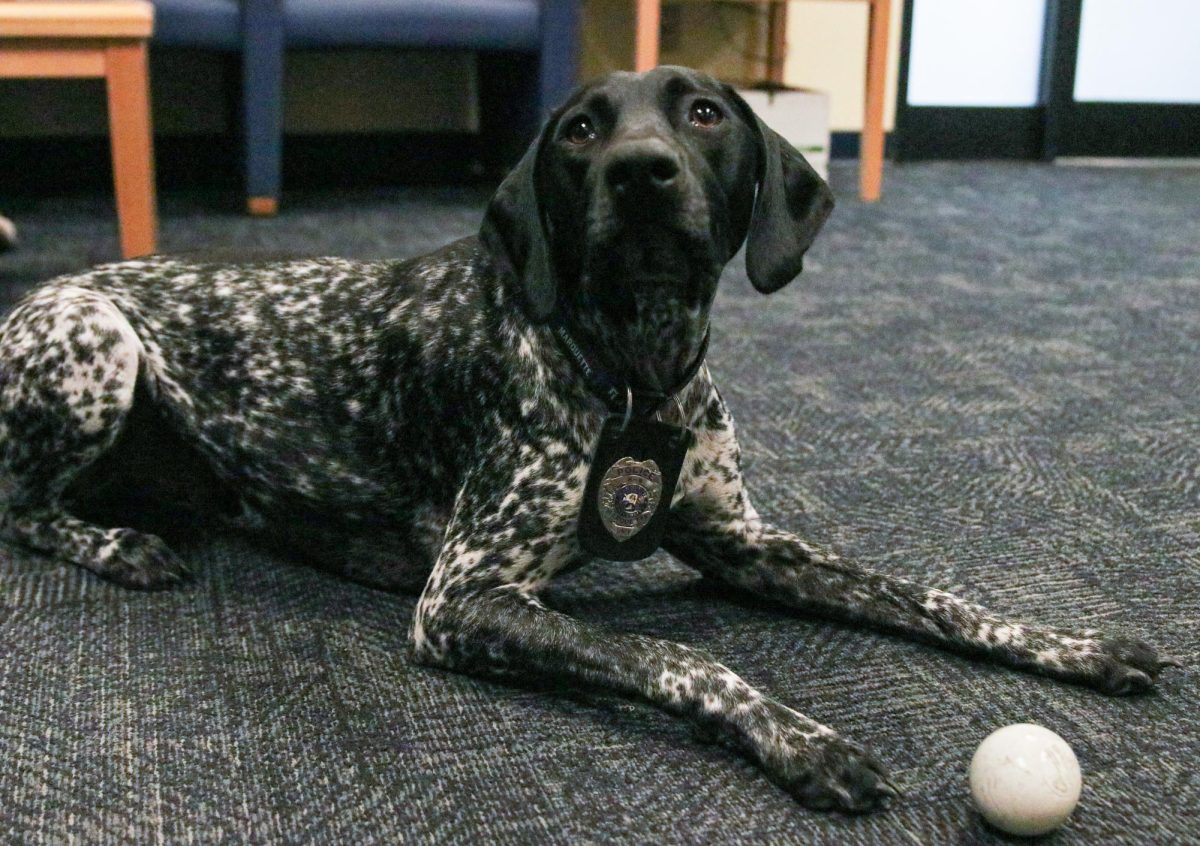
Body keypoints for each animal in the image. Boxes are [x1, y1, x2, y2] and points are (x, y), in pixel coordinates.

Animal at [0, 67, 1180, 811]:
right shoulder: (463, 599)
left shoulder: (742, 542)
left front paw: (1071, 644)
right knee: (22, 509)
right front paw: (801, 739)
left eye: (703, 114)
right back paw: (120, 546)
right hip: (95, 342)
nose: (641, 171)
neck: (635, 372)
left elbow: (931, 595)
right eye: (579, 129)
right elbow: (678, 654)